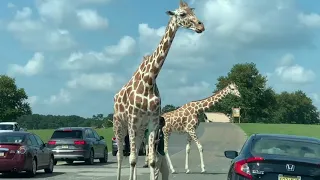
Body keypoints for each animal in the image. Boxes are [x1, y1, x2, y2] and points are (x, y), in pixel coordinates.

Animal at [111, 0, 204, 179]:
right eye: (182, 14)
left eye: (193, 11)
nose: (200, 26)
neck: (149, 80)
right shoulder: (133, 120)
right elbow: (132, 159)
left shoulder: (152, 122)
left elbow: (152, 160)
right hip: (119, 124)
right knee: (120, 156)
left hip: (140, 128)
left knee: (133, 154)